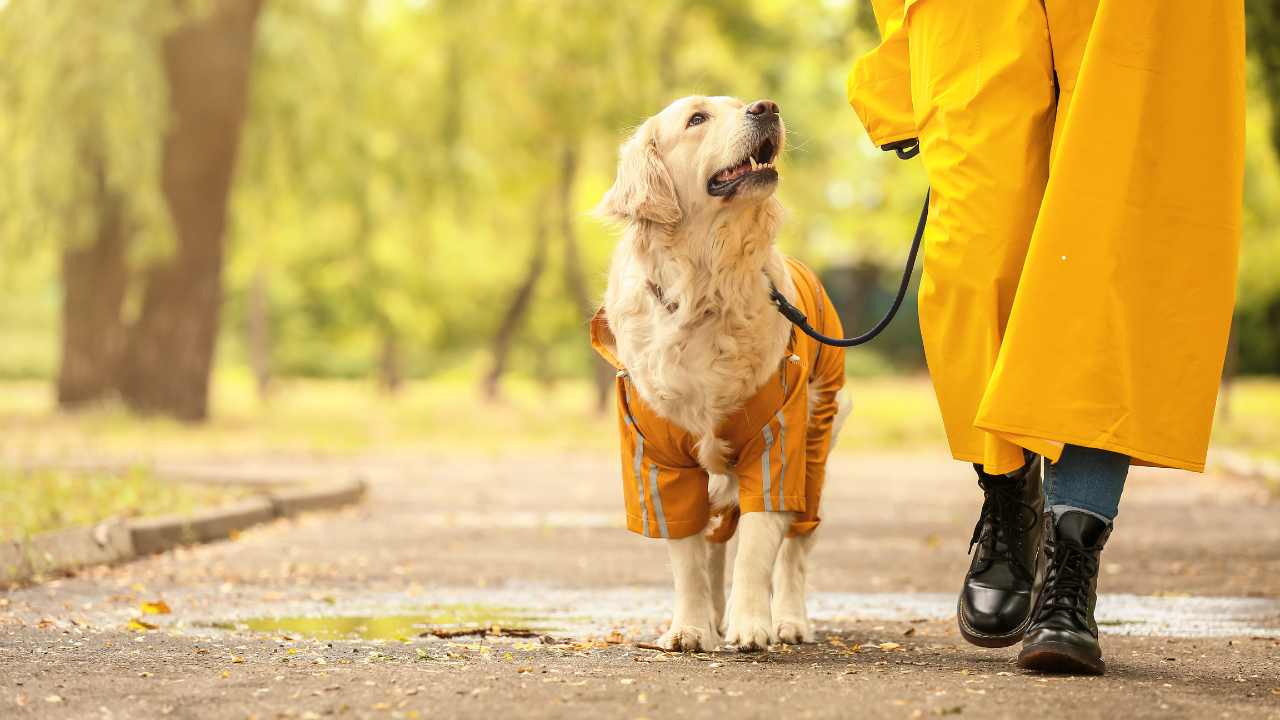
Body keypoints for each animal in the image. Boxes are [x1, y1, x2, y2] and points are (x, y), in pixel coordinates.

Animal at [591, 96, 849, 650]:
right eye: (696, 119)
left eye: (741, 103)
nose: (767, 106)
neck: (705, 286)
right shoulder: (658, 457)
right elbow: (688, 558)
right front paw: (690, 628)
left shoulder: (777, 440)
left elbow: (756, 546)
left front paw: (751, 624)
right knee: (712, 544)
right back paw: (711, 615)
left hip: (816, 446)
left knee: (796, 547)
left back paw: (789, 619)